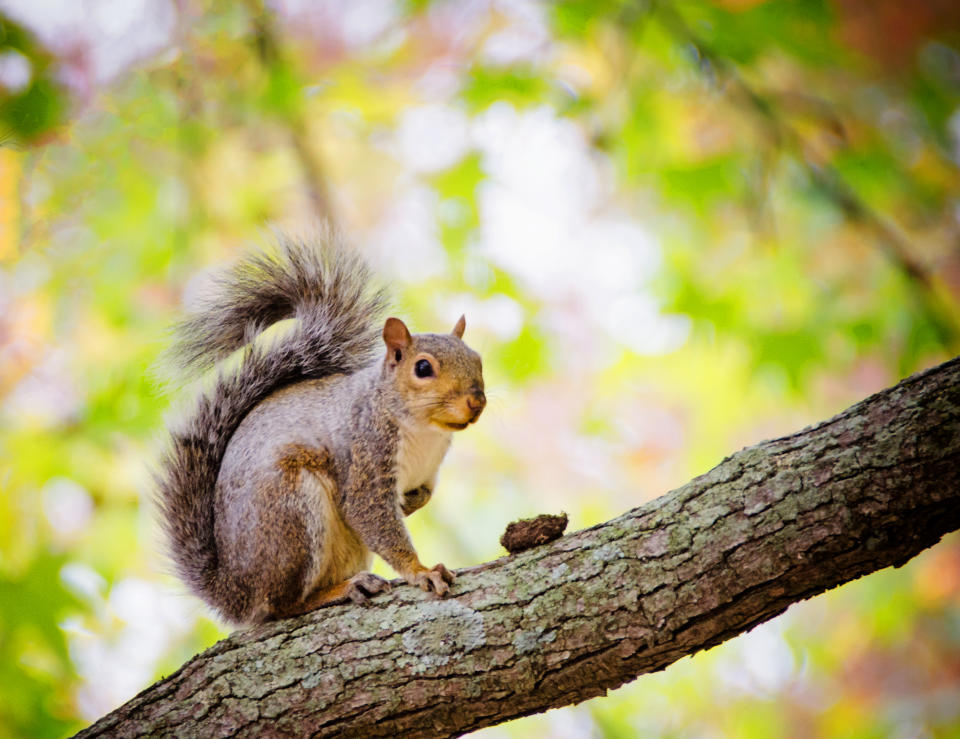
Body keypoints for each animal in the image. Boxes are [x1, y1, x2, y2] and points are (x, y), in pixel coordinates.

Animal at [159, 231, 488, 624]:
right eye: (423, 368)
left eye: (477, 359)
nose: (476, 402)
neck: (424, 430)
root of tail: (235, 590)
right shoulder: (367, 456)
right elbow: (368, 514)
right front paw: (420, 571)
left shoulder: (426, 473)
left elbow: (420, 497)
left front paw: (408, 506)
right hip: (290, 514)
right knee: (279, 606)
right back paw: (338, 591)